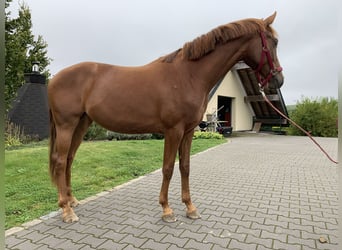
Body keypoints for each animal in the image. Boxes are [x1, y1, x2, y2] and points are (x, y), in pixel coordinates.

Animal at [48, 11, 284, 223]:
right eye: (274, 42)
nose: (278, 80)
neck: (189, 75)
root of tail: (55, 78)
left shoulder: (188, 131)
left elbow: (185, 167)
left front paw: (190, 207)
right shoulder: (173, 130)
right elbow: (168, 168)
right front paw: (166, 209)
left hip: (82, 123)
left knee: (69, 159)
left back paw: (72, 201)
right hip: (66, 124)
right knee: (60, 161)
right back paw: (67, 211)